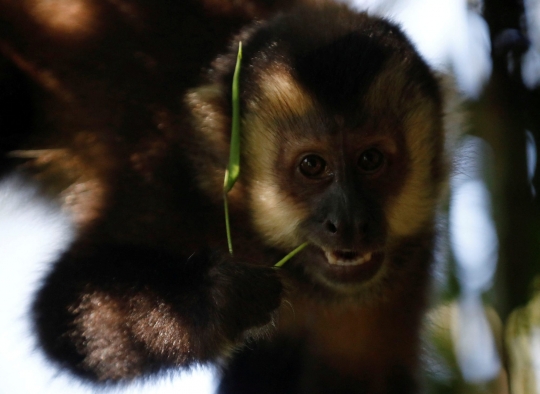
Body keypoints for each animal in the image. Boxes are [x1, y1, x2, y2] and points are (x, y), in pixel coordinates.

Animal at [0, 0, 452, 392]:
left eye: (371, 160)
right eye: (312, 166)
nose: (349, 221)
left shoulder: (408, 267)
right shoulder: (167, 180)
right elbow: (61, 313)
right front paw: (215, 304)